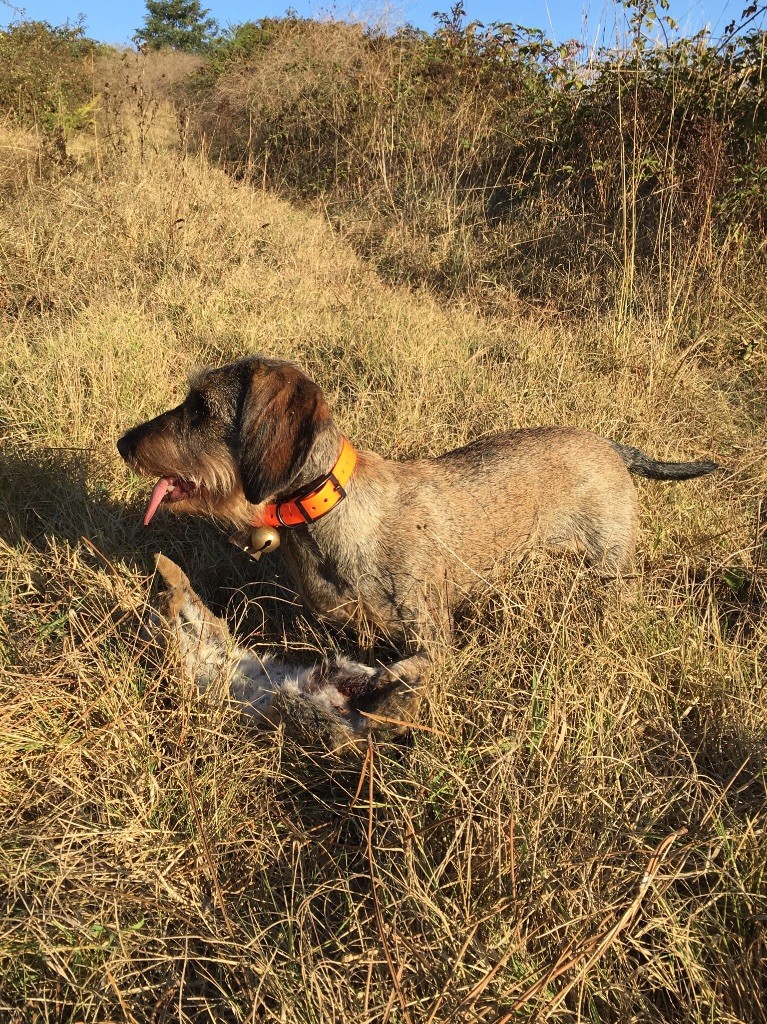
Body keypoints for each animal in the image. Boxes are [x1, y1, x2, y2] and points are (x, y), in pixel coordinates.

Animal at [116, 356, 716, 643]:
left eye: (200, 407)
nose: (124, 443)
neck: (331, 512)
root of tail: (612, 447)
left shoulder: (427, 635)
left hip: (611, 569)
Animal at [148, 557, 423, 749]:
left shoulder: (204, 641)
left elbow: (187, 611)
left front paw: (167, 582)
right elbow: (183, 618)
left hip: (305, 705)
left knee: (378, 714)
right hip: (329, 690)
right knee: (377, 709)